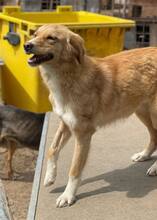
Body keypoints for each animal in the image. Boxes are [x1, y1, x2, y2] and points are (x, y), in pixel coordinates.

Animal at [24, 24, 157, 207]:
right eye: (35, 34)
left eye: (51, 38)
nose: (26, 45)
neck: (70, 76)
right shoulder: (66, 124)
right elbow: (52, 149)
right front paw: (50, 176)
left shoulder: (83, 133)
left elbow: (74, 169)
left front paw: (68, 195)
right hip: (142, 111)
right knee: (154, 136)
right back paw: (144, 155)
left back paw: (154, 167)